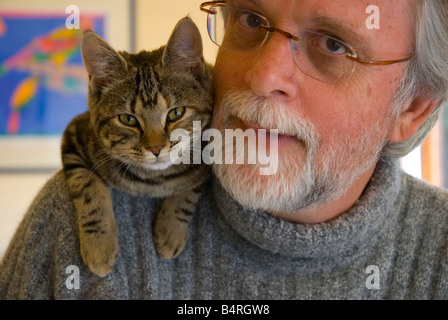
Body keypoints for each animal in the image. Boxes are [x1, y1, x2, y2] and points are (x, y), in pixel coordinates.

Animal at [61, 18, 214, 278]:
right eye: (128, 119)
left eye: (176, 113)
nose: (156, 148)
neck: (154, 181)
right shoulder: (74, 134)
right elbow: (87, 186)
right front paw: (99, 245)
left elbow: (189, 189)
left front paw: (170, 227)